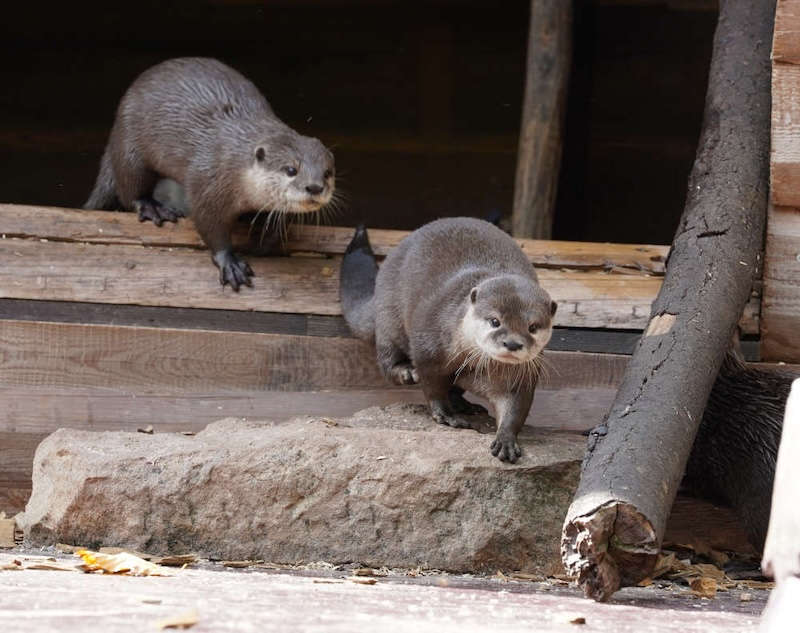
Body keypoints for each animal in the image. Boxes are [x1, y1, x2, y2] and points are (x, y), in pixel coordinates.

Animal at [86, 56, 336, 288]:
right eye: (291, 169)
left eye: (327, 173)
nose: (315, 187)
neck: (234, 164)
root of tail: (115, 131)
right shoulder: (208, 182)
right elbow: (209, 225)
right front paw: (230, 263)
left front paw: (268, 232)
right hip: (132, 146)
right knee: (130, 188)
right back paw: (152, 207)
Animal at [340, 215, 560, 462]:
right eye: (495, 321)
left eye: (533, 327)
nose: (512, 343)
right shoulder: (428, 348)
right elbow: (432, 385)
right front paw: (445, 415)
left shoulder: (521, 376)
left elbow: (516, 408)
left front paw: (506, 439)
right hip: (389, 315)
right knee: (388, 357)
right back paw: (406, 372)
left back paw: (465, 404)